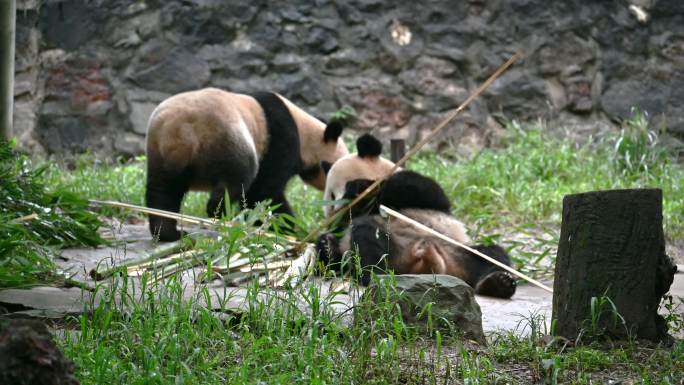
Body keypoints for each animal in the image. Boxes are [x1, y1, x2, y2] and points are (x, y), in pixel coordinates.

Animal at [144, 88, 348, 242]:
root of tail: (183, 130)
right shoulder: (279, 138)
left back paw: (168, 233)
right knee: (236, 178)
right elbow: (264, 192)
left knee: (163, 191)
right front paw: (287, 228)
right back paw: (220, 214)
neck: (305, 131)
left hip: (161, 151)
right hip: (229, 138)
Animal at [318, 134, 516, 298]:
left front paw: (361, 187)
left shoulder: (419, 191)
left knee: (491, 255)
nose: (334, 216)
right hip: (396, 250)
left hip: (458, 250)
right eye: (331, 197)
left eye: (336, 195)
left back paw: (498, 283)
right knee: (365, 236)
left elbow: (421, 190)